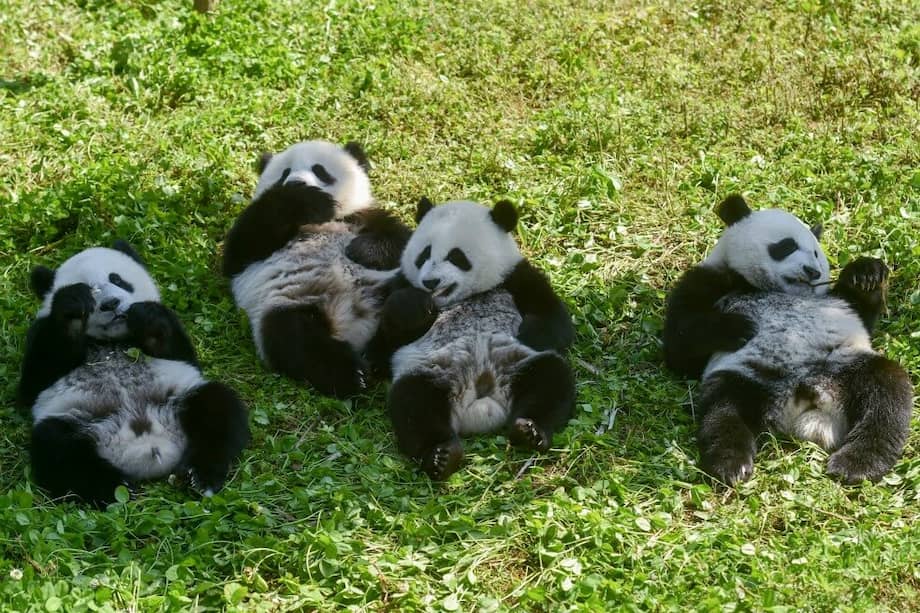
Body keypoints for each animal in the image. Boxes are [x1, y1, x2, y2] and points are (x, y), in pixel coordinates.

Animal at [17, 241, 250, 505]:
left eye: (117, 279)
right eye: (90, 290)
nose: (111, 303)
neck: (112, 341)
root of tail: (149, 448)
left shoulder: (174, 336)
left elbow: (181, 353)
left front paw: (146, 318)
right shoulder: (41, 336)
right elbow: (33, 383)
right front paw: (73, 309)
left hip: (179, 399)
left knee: (217, 407)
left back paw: (199, 476)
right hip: (80, 420)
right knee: (58, 449)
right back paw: (116, 487)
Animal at [222, 140, 410, 398]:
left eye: (320, 170)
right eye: (284, 173)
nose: (296, 181)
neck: (321, 221)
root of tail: (356, 327)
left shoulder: (363, 216)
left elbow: (403, 239)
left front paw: (360, 251)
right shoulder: (248, 253)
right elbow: (241, 247)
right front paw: (301, 197)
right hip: (287, 303)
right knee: (293, 338)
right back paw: (353, 373)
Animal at [368, 198, 576, 480]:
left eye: (456, 256)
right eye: (424, 255)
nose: (430, 282)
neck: (462, 298)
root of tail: (481, 404)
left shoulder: (515, 277)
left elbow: (556, 320)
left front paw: (528, 334)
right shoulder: (399, 285)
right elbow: (381, 349)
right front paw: (414, 307)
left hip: (517, 364)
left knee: (550, 379)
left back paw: (531, 432)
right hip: (435, 372)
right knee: (414, 402)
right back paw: (442, 455)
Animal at [663, 195, 913, 485]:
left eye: (816, 253)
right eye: (786, 245)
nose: (813, 271)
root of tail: (805, 398)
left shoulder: (834, 304)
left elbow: (860, 312)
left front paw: (866, 275)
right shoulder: (711, 279)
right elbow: (679, 346)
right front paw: (739, 327)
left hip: (844, 365)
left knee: (886, 397)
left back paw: (855, 464)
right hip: (750, 376)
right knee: (723, 411)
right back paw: (731, 463)